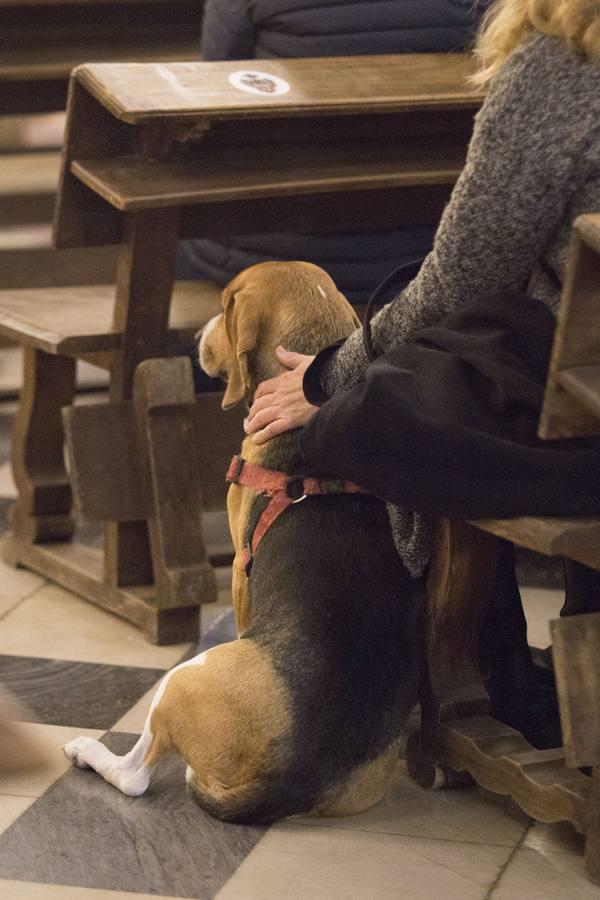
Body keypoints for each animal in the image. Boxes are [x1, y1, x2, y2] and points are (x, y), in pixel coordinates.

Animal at [63, 260, 422, 824]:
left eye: (226, 303)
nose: (193, 338)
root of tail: (289, 778)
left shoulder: (237, 568)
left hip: (182, 678)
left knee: (135, 775)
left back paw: (88, 751)